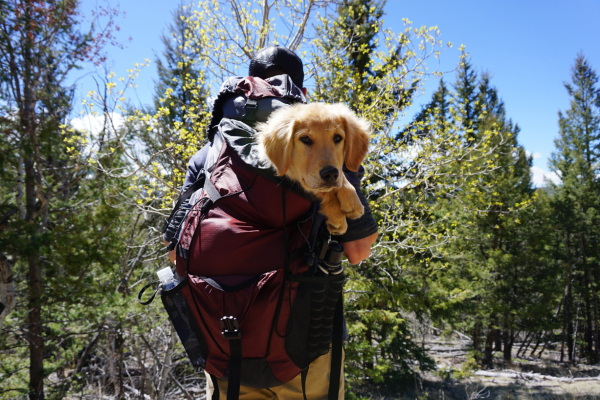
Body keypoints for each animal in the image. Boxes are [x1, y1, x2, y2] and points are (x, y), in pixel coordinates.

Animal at [256, 101, 370, 236]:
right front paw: (337, 215)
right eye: (305, 139)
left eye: (337, 138)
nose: (330, 174)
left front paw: (351, 198)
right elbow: (321, 190)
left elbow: (339, 176)